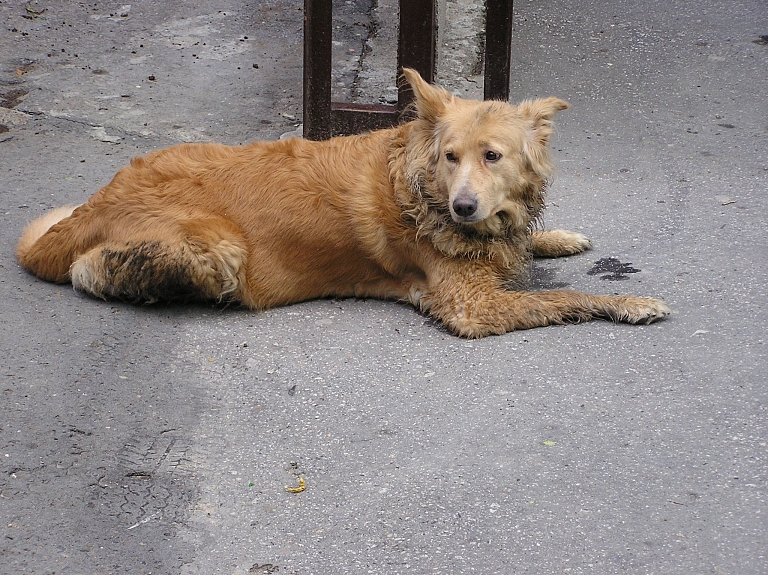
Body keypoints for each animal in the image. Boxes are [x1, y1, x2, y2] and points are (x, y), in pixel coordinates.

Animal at [15, 68, 668, 338]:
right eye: (450, 157)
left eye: (493, 156)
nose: (463, 209)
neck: (421, 188)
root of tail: (98, 200)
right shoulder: (472, 308)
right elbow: (565, 297)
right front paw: (631, 302)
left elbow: (531, 246)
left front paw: (557, 237)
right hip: (219, 252)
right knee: (91, 271)